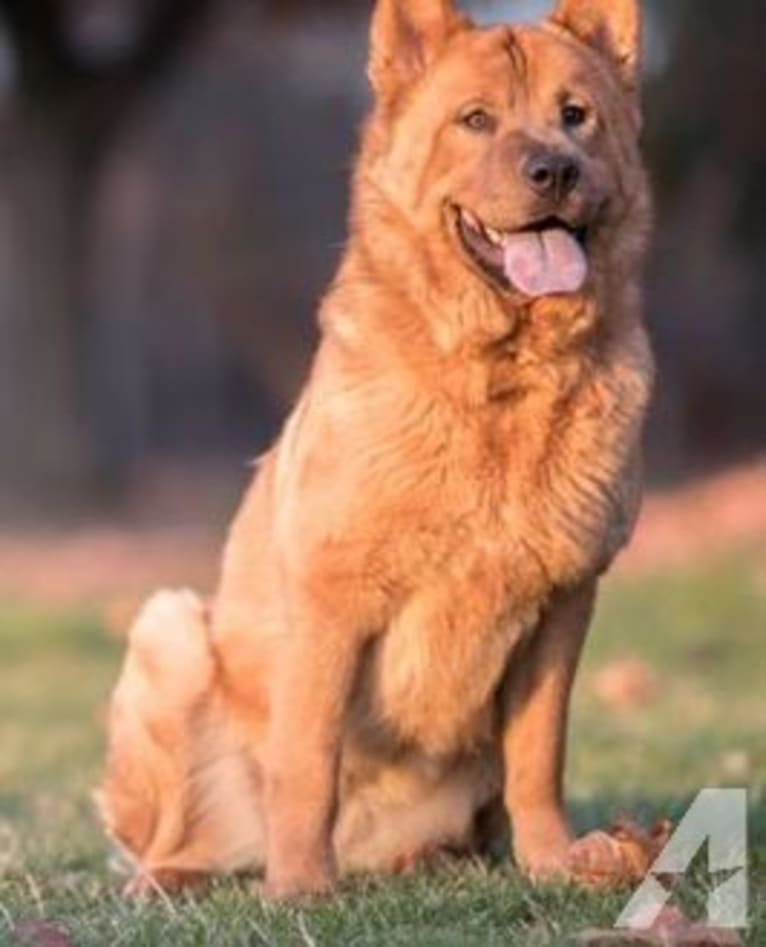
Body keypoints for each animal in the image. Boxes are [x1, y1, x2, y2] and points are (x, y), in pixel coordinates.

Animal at [99, 0, 656, 900]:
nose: (555, 170)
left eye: (577, 116)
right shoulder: (332, 596)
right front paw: (299, 889)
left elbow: (539, 756)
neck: (501, 377)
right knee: (178, 830)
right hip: (171, 628)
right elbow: (307, 759)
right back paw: (171, 878)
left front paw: (555, 863)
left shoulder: (566, 599)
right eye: (476, 120)